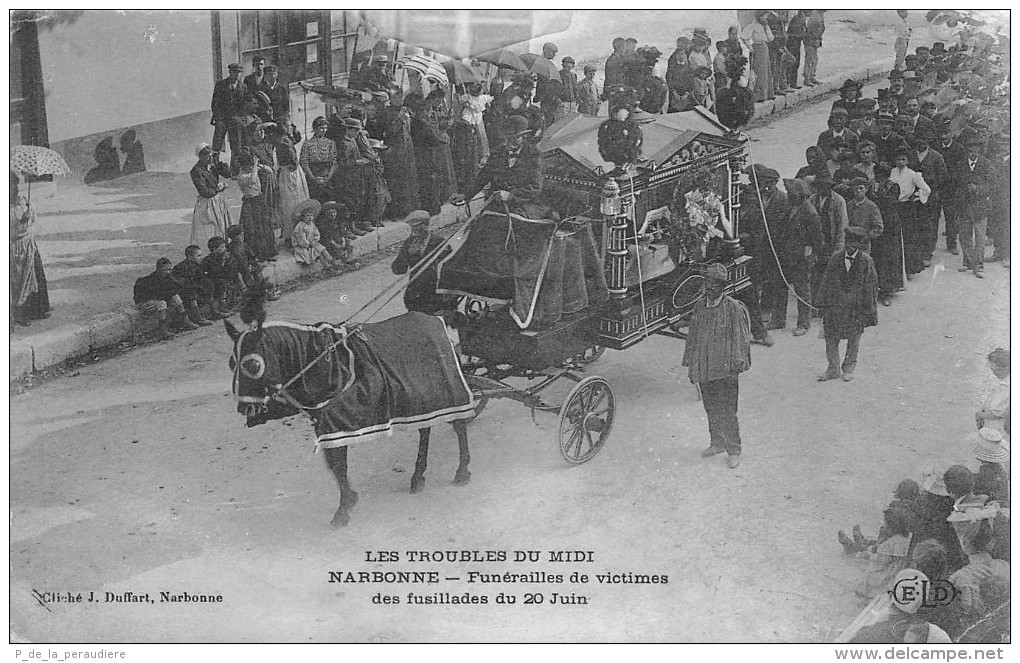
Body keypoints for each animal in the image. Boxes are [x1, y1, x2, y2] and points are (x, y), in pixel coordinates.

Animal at [227, 285, 473, 522]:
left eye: (252, 365)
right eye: (231, 363)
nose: (244, 408)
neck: (322, 359)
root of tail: (439, 318)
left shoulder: (338, 420)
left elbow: (338, 461)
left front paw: (343, 507)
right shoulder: (324, 421)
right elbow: (333, 462)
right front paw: (350, 499)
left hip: (447, 392)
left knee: (459, 425)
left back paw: (462, 471)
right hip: (421, 399)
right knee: (425, 429)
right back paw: (418, 476)